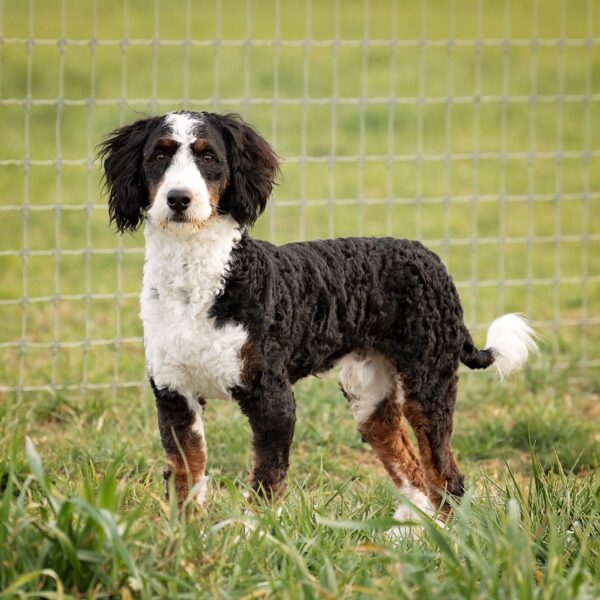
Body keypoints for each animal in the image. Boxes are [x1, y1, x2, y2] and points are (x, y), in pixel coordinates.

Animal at [99, 111, 540, 520]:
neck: (199, 286)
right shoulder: (174, 394)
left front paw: (254, 536)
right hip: (370, 396)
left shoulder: (272, 400)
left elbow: (266, 482)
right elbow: (187, 477)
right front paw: (186, 539)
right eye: (159, 154)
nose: (178, 199)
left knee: (445, 477)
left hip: (429, 385)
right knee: (411, 468)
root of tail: (431, 259)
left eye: (208, 157)